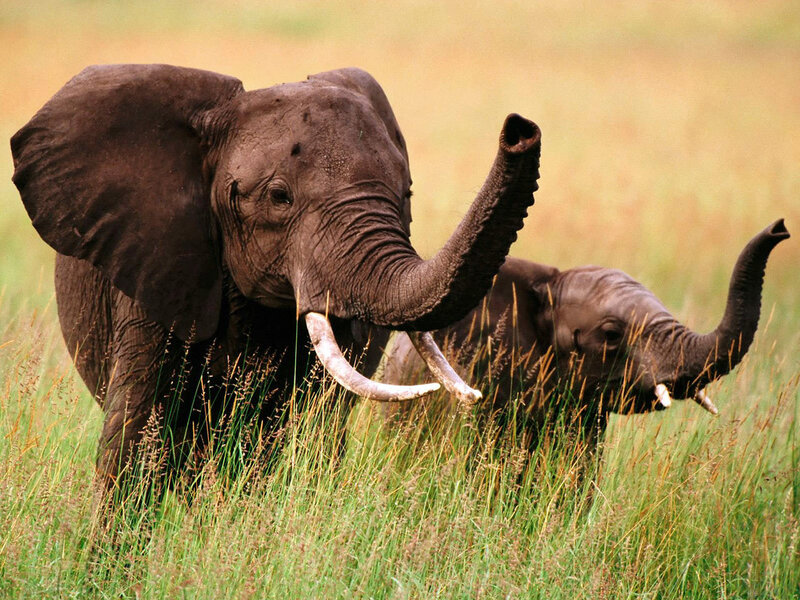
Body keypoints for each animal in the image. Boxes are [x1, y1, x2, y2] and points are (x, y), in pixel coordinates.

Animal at [11, 64, 542, 489]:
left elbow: (303, 430)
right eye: (279, 197)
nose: (520, 129)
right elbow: (137, 435)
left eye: (406, 192)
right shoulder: (156, 265)